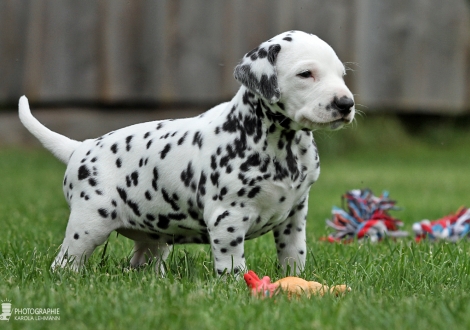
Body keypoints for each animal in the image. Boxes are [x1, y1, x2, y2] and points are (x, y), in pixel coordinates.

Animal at [19, 31, 356, 276]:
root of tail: (81, 146)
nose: (346, 103)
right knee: (65, 262)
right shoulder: (227, 218)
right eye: (306, 74)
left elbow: (293, 255)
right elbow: (232, 265)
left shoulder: (295, 216)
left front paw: (295, 281)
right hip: (88, 225)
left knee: (141, 264)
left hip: (153, 237)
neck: (279, 145)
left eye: (341, 74)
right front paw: (237, 289)